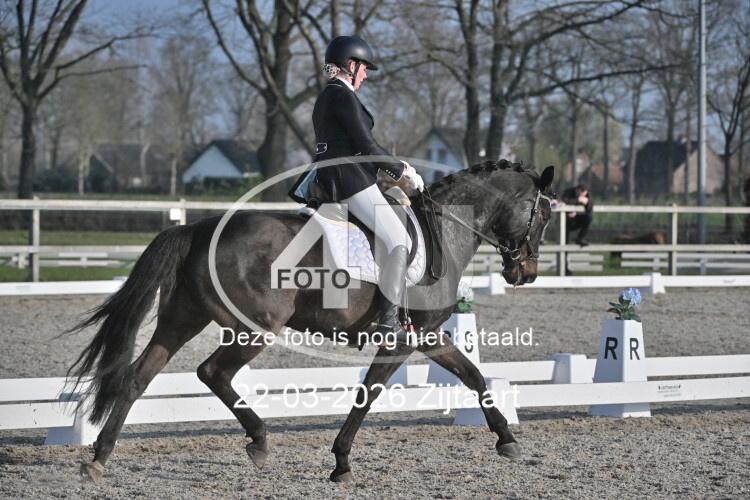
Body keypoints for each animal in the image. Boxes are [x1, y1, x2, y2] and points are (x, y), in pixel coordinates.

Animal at [68, 158, 555, 483]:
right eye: (544, 213)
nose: (526, 273)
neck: (444, 231)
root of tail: (200, 228)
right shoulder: (401, 340)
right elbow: (368, 394)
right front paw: (341, 462)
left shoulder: (430, 336)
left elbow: (474, 376)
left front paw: (505, 438)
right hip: (255, 327)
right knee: (212, 372)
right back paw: (259, 441)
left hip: (181, 319)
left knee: (137, 376)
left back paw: (99, 458)